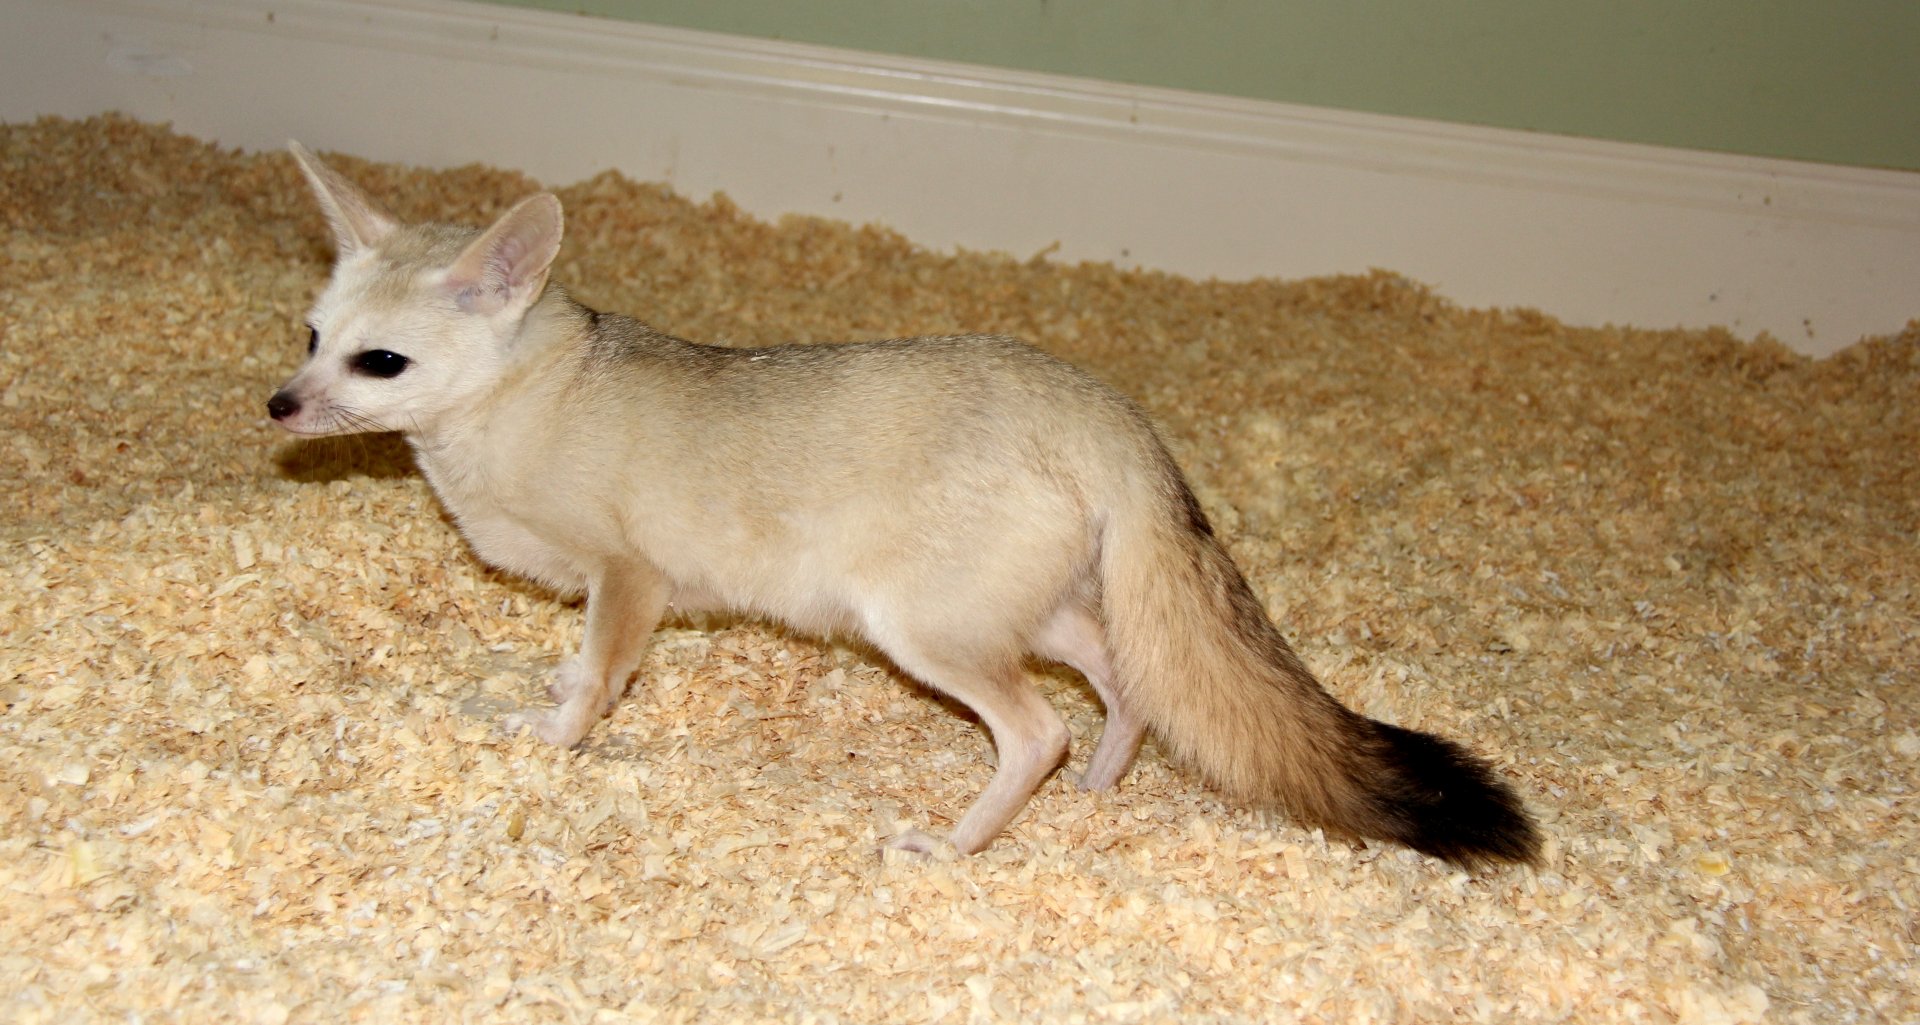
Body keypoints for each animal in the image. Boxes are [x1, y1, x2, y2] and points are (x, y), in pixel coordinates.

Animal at [266, 141, 1541, 867]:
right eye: (312, 336)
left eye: (379, 363)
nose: (278, 404)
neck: (530, 393)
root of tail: (1098, 403)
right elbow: (577, 663)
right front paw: (546, 693)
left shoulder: (630, 579)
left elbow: (598, 678)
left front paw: (552, 737)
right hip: (1032, 611)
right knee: (1123, 682)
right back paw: (1099, 788)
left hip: (927, 633)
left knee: (1038, 727)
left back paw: (960, 842)